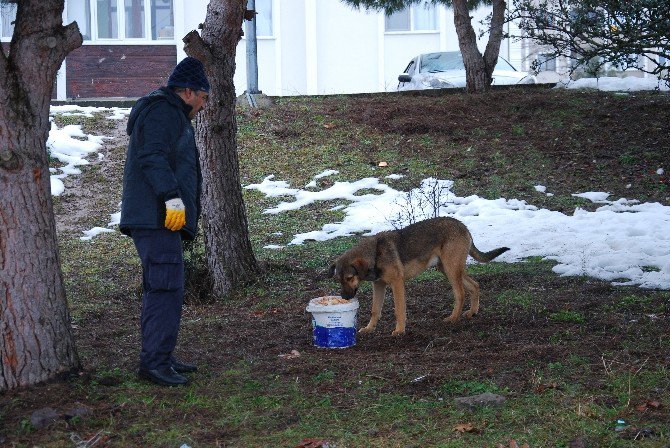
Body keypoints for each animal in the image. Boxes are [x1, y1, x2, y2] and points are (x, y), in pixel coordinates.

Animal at [330, 217, 510, 336]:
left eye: (349, 278)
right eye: (338, 280)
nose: (344, 297)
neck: (375, 253)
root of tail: (463, 226)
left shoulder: (397, 284)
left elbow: (399, 310)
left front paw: (399, 330)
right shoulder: (379, 285)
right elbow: (375, 310)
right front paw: (369, 329)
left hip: (451, 270)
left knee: (460, 294)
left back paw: (453, 318)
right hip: (447, 269)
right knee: (475, 285)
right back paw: (472, 312)